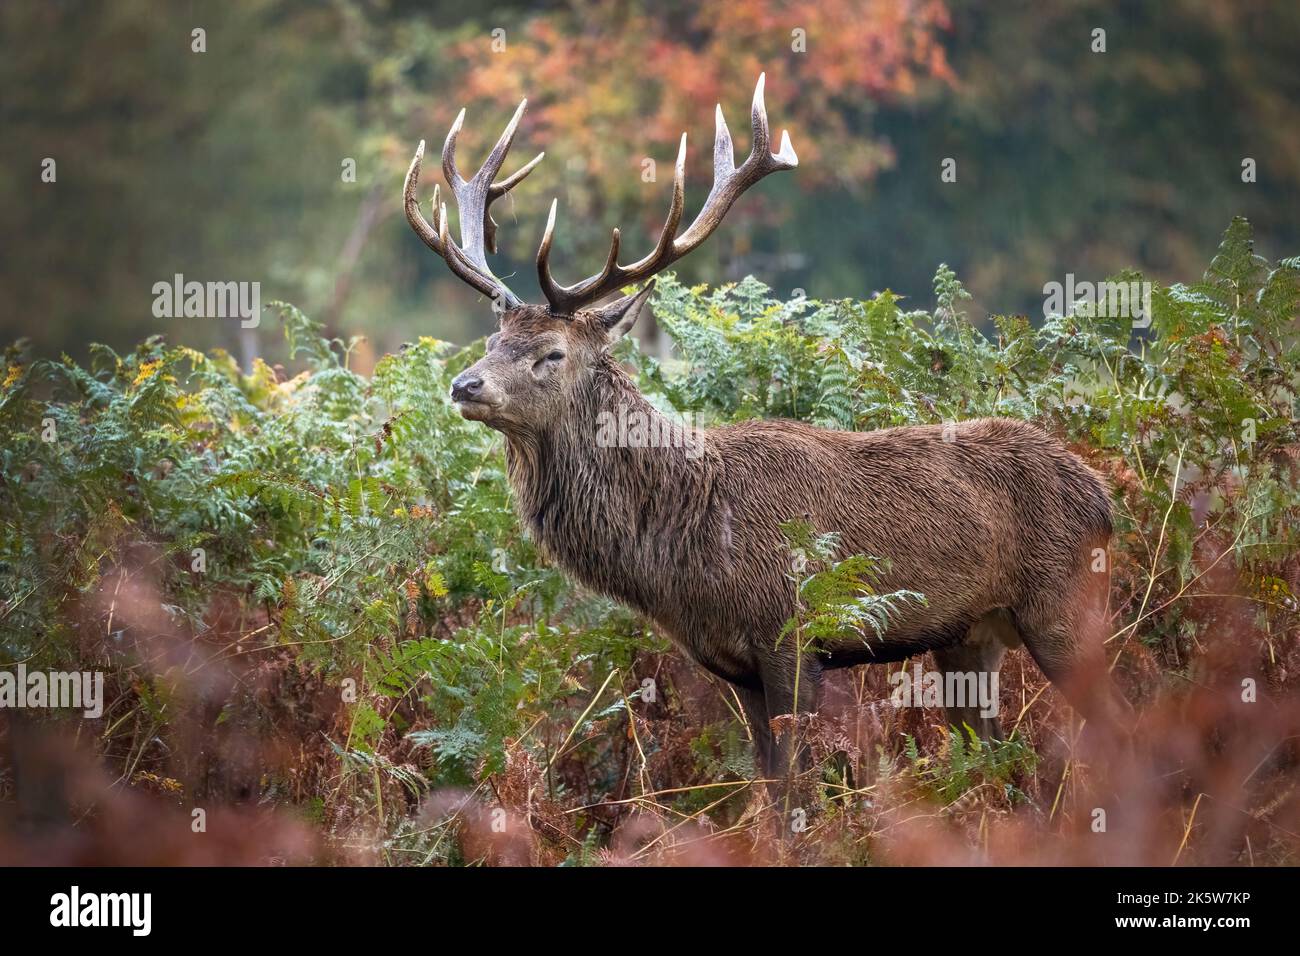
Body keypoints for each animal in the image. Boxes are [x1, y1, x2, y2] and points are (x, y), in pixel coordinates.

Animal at [401, 75, 1134, 785]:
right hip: (970, 637)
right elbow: (767, 789)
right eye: (493, 339)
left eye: (551, 353)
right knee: (996, 756)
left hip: (1066, 607)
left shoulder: (793, 635)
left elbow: (797, 789)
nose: (465, 386)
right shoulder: (733, 666)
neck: (687, 546)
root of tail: (1104, 499)